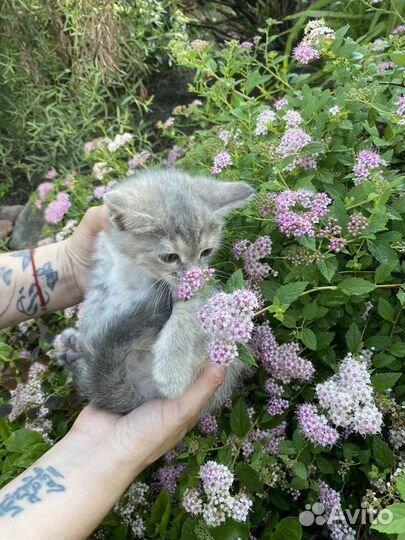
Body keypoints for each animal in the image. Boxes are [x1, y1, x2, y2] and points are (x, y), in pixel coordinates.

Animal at [55, 169, 252, 414]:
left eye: (206, 252)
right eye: (169, 257)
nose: (195, 275)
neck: (134, 269)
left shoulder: (200, 289)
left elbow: (187, 309)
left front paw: (171, 367)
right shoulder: (102, 272)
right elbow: (94, 305)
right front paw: (88, 340)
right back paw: (73, 353)